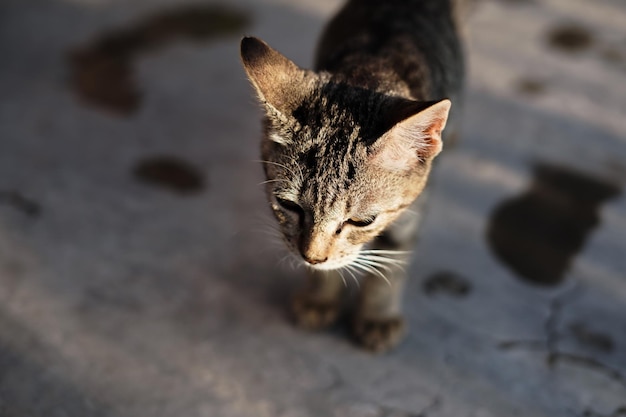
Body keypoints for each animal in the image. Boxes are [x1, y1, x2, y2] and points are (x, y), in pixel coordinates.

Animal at [239, 0, 464, 352]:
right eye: (288, 206)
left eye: (362, 221)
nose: (312, 258)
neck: (372, 67)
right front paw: (320, 296)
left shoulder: (415, 207)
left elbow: (394, 258)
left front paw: (377, 315)